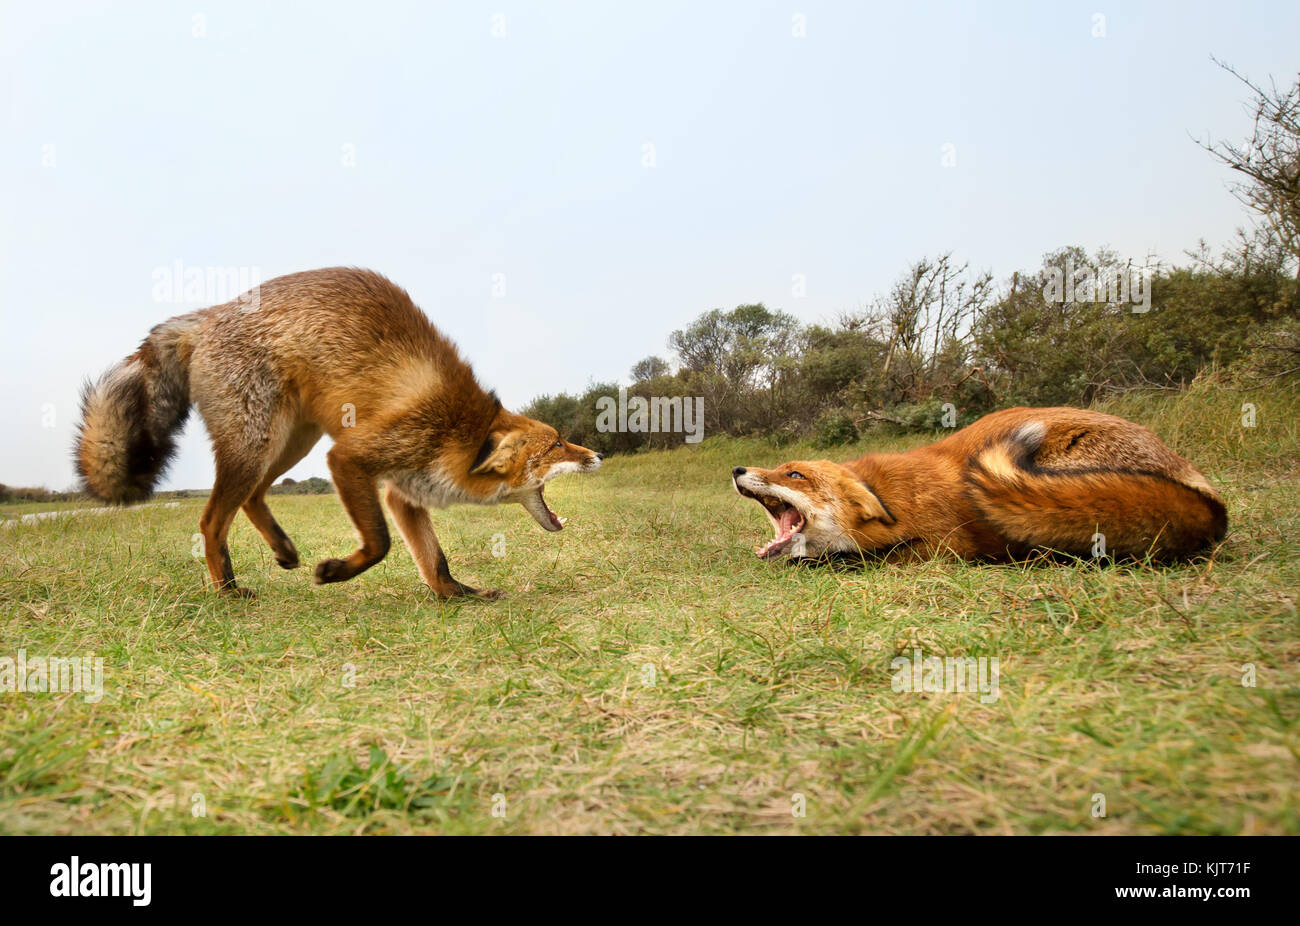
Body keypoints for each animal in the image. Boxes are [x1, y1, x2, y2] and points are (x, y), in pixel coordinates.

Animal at [74, 267, 601, 599]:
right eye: (557, 443)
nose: (597, 456)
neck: (457, 429)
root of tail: (211, 313)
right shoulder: (351, 457)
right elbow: (380, 544)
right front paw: (336, 572)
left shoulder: (402, 492)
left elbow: (435, 561)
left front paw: (459, 595)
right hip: (258, 444)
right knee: (210, 521)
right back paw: (227, 589)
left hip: (290, 442)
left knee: (251, 498)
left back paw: (283, 551)